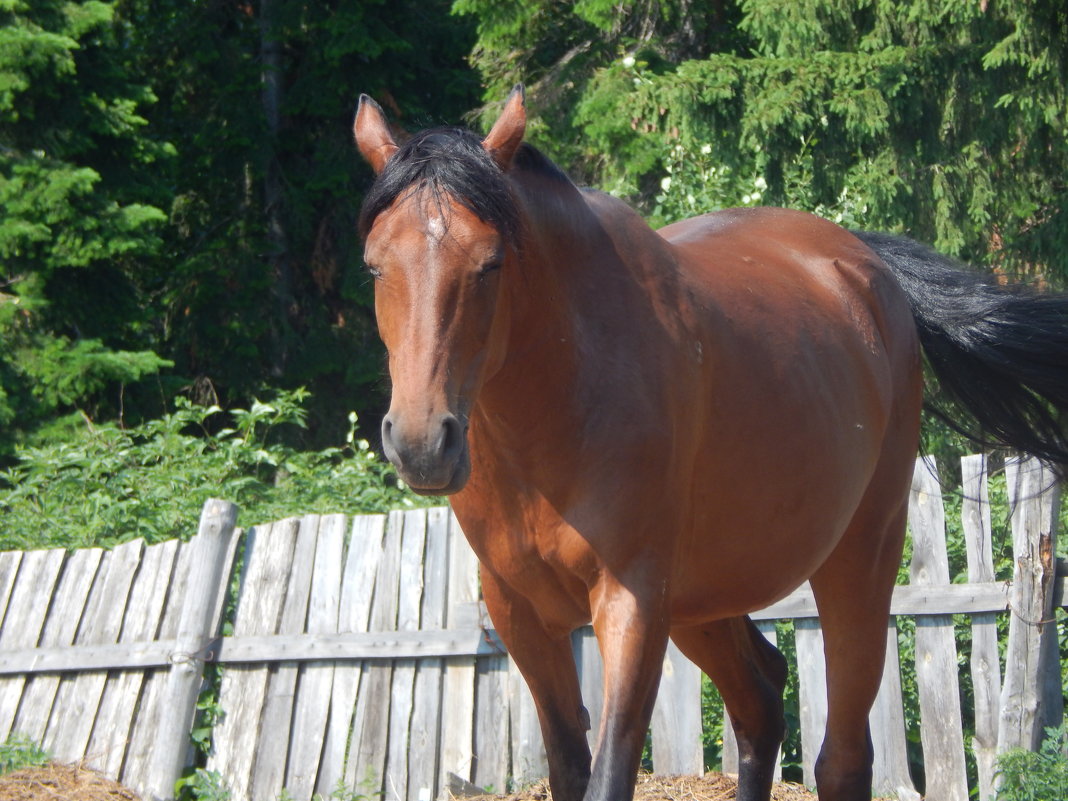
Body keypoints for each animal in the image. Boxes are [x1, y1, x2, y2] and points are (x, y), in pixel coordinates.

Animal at [354, 87, 1068, 801]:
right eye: (374, 266)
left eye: (491, 262)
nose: (421, 442)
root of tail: (865, 268)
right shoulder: (519, 614)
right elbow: (569, 766)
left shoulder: (633, 604)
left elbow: (610, 773)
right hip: (703, 604)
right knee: (760, 698)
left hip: (858, 560)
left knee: (841, 756)